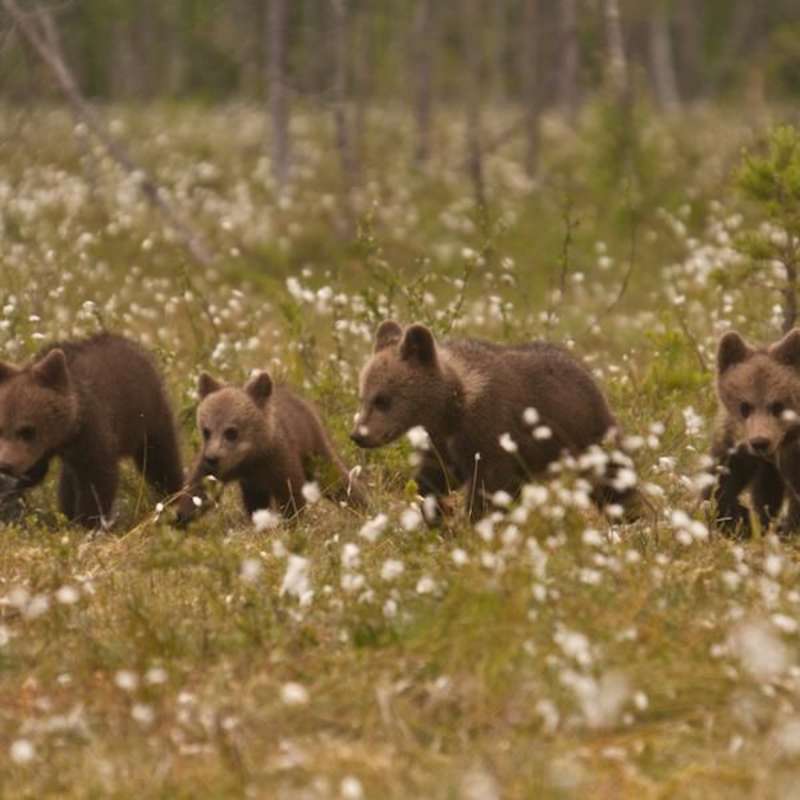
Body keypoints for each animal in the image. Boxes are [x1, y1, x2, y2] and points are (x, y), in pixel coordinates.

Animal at [0, 333, 183, 528]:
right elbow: (36, 472)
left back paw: (173, 497)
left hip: (148, 415)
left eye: (27, 430)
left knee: (162, 458)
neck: (66, 434)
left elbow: (98, 478)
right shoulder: (45, 450)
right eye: (0, 428)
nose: (6, 465)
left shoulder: (92, 429)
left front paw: (87, 522)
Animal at [175, 370, 367, 525]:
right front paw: (180, 517)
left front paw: (291, 523)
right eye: (206, 430)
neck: (250, 457)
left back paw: (362, 505)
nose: (212, 458)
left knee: (335, 476)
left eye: (231, 432)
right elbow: (197, 490)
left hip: (313, 446)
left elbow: (292, 493)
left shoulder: (278, 459)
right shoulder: (228, 469)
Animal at [351, 320, 636, 521]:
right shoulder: (442, 442)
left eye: (383, 399)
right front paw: (437, 513)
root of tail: (589, 374)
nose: (359, 435)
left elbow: (488, 488)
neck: (451, 410)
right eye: (363, 396)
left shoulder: (490, 433)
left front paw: (472, 522)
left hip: (586, 436)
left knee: (613, 478)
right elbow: (435, 477)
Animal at [708, 327, 800, 537]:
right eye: (744, 406)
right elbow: (721, 483)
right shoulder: (736, 443)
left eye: (778, 406)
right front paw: (738, 520)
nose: (760, 442)